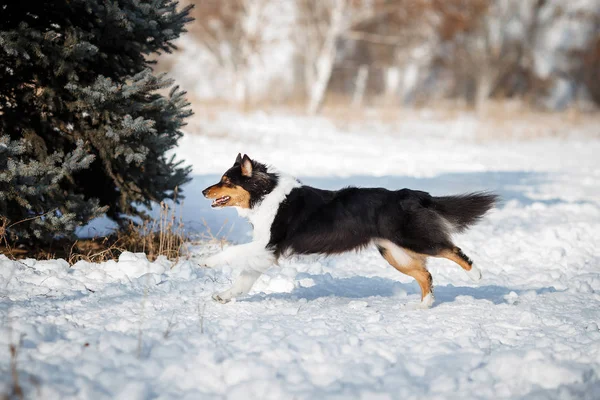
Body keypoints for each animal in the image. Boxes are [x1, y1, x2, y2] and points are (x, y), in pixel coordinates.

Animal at [202, 153, 496, 306]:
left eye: (226, 180)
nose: (204, 191)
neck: (265, 194)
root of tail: (413, 194)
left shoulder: (268, 244)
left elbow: (232, 253)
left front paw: (206, 261)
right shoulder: (265, 252)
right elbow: (243, 279)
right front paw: (224, 296)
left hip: (412, 239)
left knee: (452, 249)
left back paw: (476, 275)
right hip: (394, 253)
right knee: (426, 274)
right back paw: (424, 305)